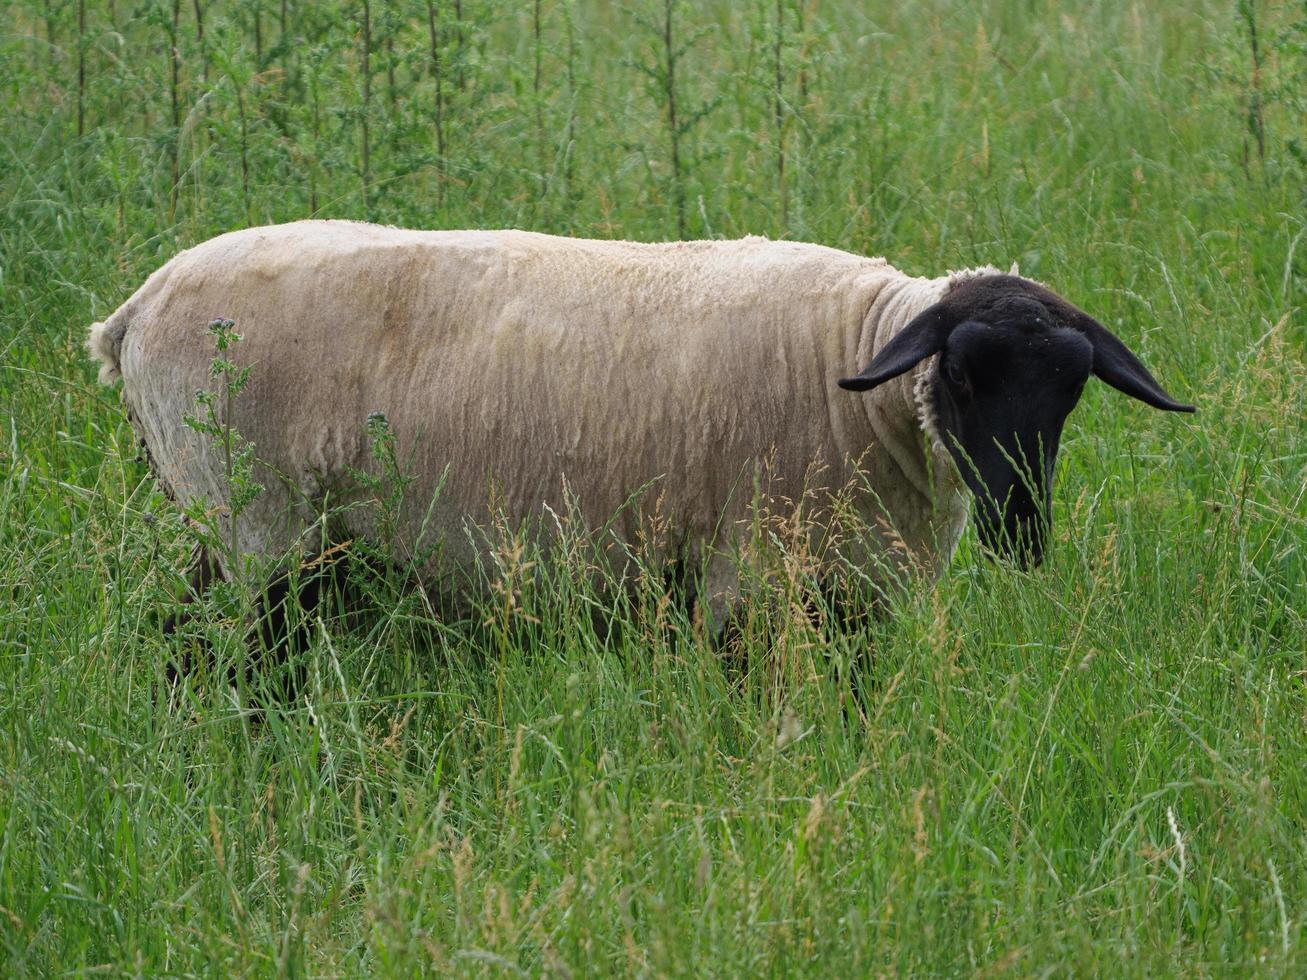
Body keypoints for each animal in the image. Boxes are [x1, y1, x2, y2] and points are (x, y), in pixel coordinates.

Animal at [84, 222, 1197, 669]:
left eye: (1070, 395)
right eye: (961, 376)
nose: (1022, 529)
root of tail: (132, 313)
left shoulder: (854, 597)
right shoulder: (749, 580)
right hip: (247, 519)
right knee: (200, 651)